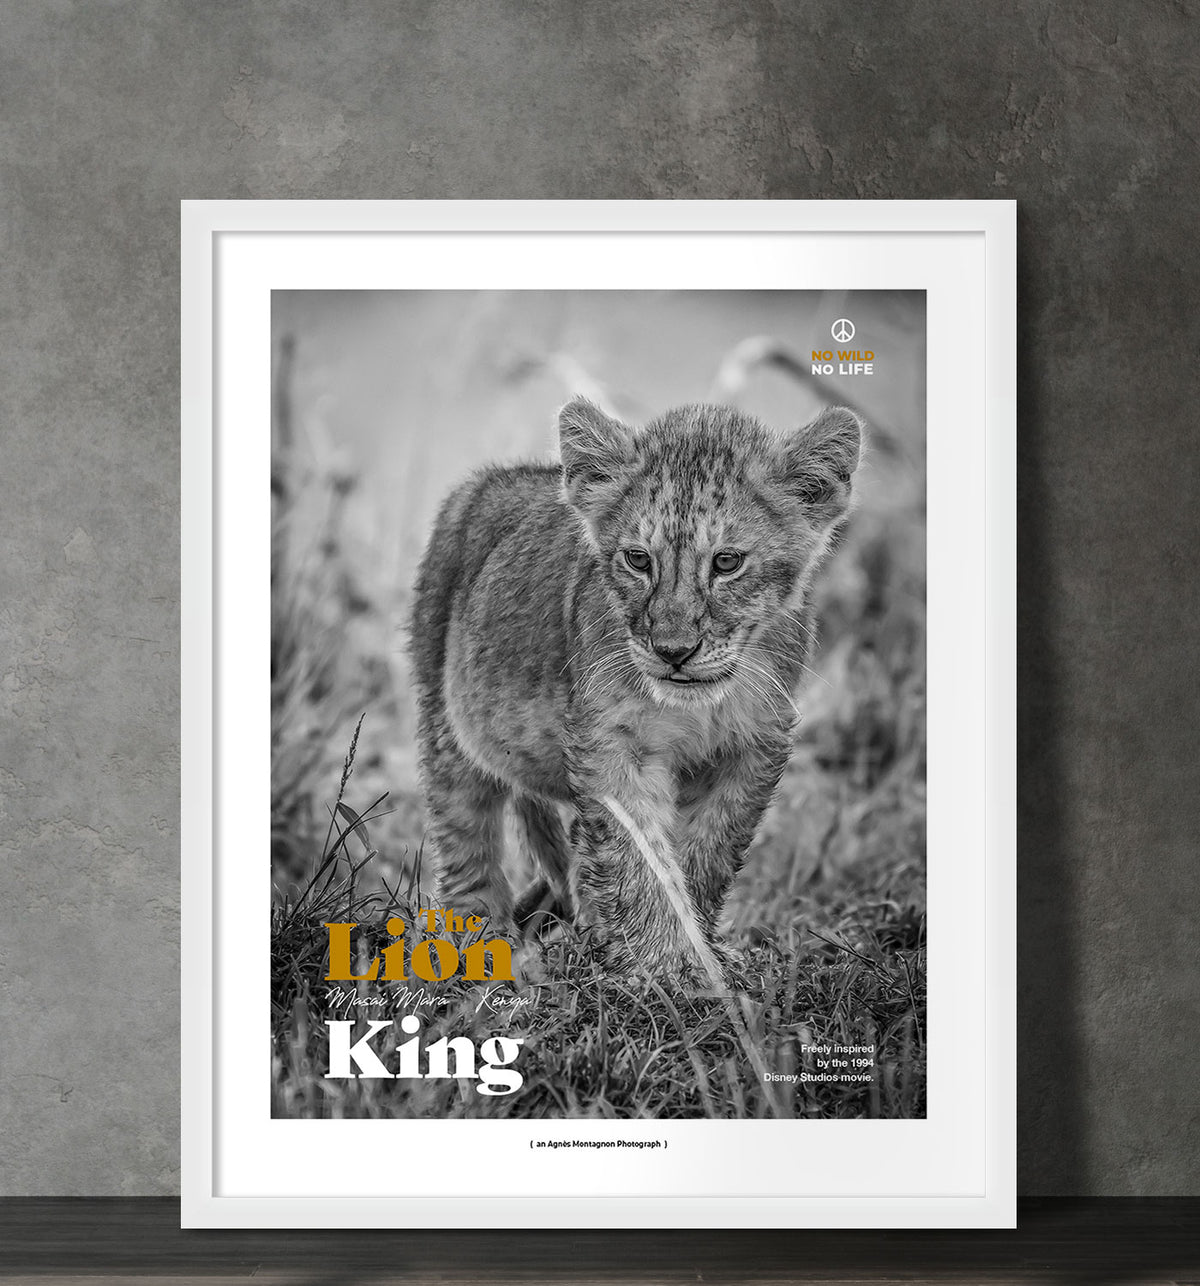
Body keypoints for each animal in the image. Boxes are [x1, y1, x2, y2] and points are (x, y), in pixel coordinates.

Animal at [410, 397, 862, 974]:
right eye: (638, 559)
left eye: (727, 562)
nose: (673, 651)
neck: (697, 706)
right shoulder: (610, 741)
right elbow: (639, 857)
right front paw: (661, 964)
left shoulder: (753, 746)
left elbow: (706, 853)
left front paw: (695, 951)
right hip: (445, 719)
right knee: (467, 835)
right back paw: (479, 941)